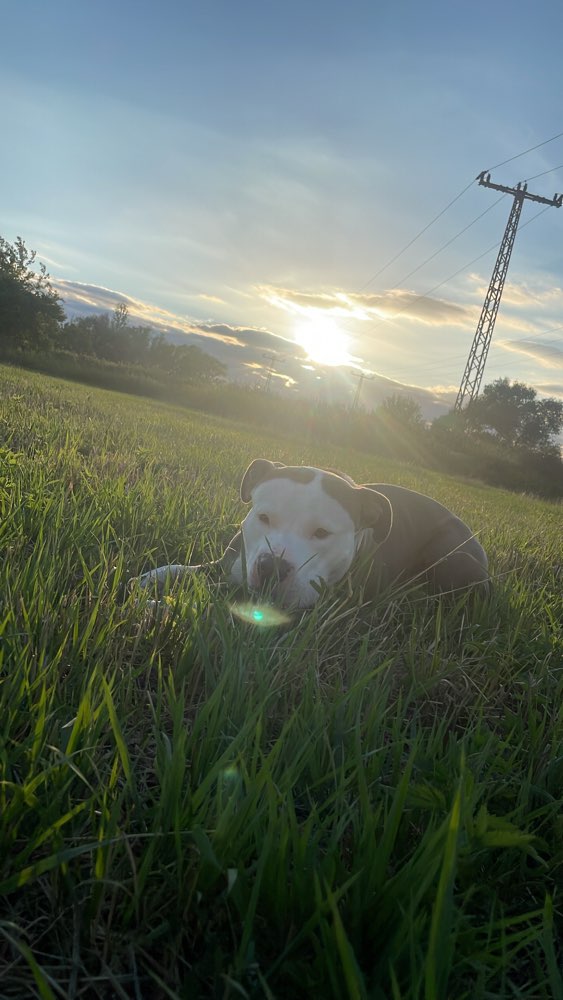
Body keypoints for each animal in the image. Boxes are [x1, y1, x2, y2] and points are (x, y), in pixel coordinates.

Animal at [135, 458, 490, 608]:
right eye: (263, 517)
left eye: (322, 533)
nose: (271, 566)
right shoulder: (231, 563)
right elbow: (182, 569)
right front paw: (148, 579)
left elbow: (218, 599)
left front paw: (158, 604)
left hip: (452, 554)